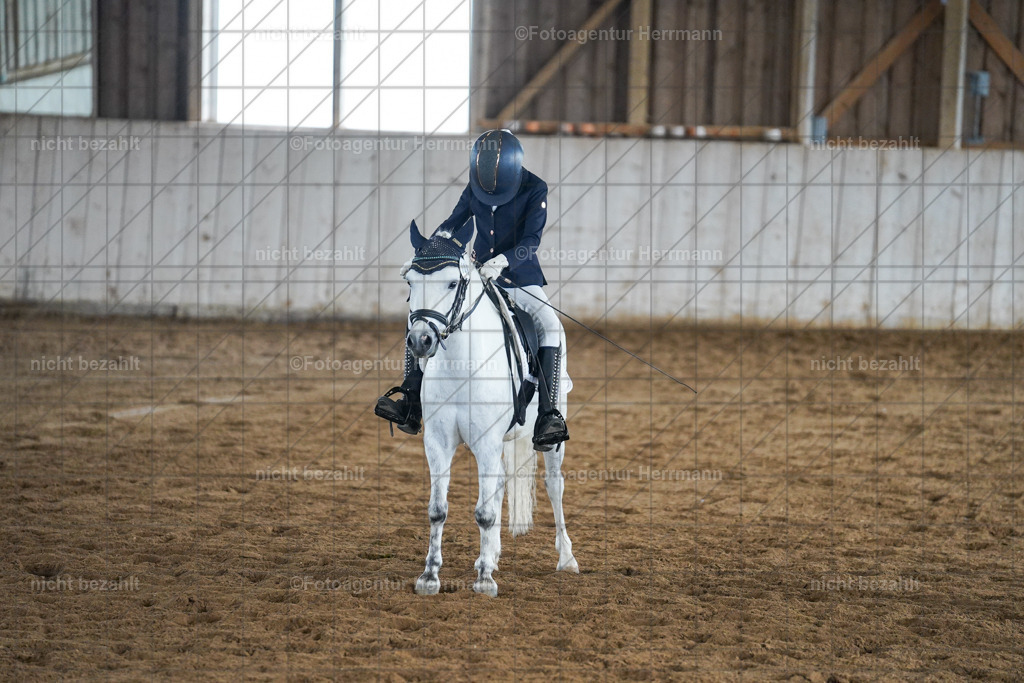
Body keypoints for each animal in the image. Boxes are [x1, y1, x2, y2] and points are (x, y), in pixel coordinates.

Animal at [402, 220, 579, 597]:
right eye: (410, 282)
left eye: (452, 282)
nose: (421, 341)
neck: (460, 364)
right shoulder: (437, 442)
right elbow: (437, 509)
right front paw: (429, 576)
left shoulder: (485, 441)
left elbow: (483, 513)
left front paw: (484, 581)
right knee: (497, 488)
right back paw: (492, 556)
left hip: (551, 439)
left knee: (553, 486)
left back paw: (567, 559)